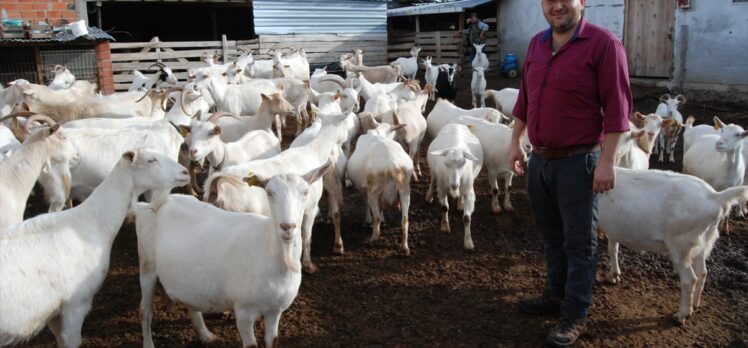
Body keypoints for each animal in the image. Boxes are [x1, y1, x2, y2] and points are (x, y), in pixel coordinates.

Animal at [426, 123, 486, 251]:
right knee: (433, 179)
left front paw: (468, 242)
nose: (454, 185)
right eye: (445, 163)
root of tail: (456, 124)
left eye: (463, 163)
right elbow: (445, 207)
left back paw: (460, 203)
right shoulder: (442, 189)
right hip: (435, 174)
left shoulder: (469, 192)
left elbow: (467, 218)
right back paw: (429, 195)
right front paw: (445, 226)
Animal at [600, 168, 748, 324]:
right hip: (701, 243)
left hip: (680, 244)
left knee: (689, 279)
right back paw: (695, 304)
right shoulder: (613, 229)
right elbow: (612, 249)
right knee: (702, 272)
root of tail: (715, 196)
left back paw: (682, 314)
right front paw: (613, 276)